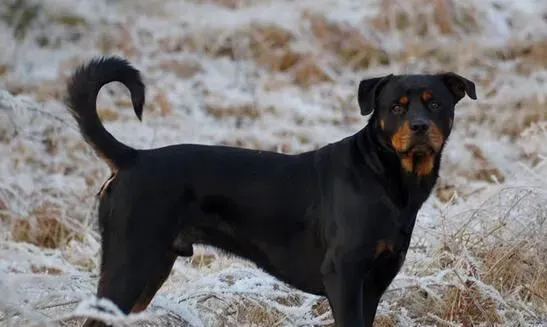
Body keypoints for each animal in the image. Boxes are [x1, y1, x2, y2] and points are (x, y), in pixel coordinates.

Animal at [63, 57, 476, 327]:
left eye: (436, 103)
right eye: (396, 107)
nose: (420, 126)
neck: (389, 179)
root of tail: (132, 158)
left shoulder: (375, 281)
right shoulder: (343, 274)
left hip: (149, 270)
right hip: (129, 264)